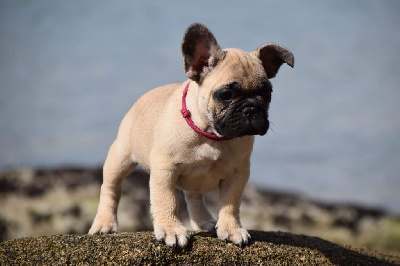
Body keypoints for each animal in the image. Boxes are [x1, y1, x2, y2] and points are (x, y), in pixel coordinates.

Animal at [89, 22, 292, 247]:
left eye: (267, 93)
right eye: (226, 95)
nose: (251, 109)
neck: (211, 135)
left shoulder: (238, 174)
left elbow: (230, 204)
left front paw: (231, 229)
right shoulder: (165, 170)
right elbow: (166, 201)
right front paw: (170, 230)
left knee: (193, 196)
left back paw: (203, 221)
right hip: (120, 156)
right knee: (111, 188)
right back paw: (105, 224)